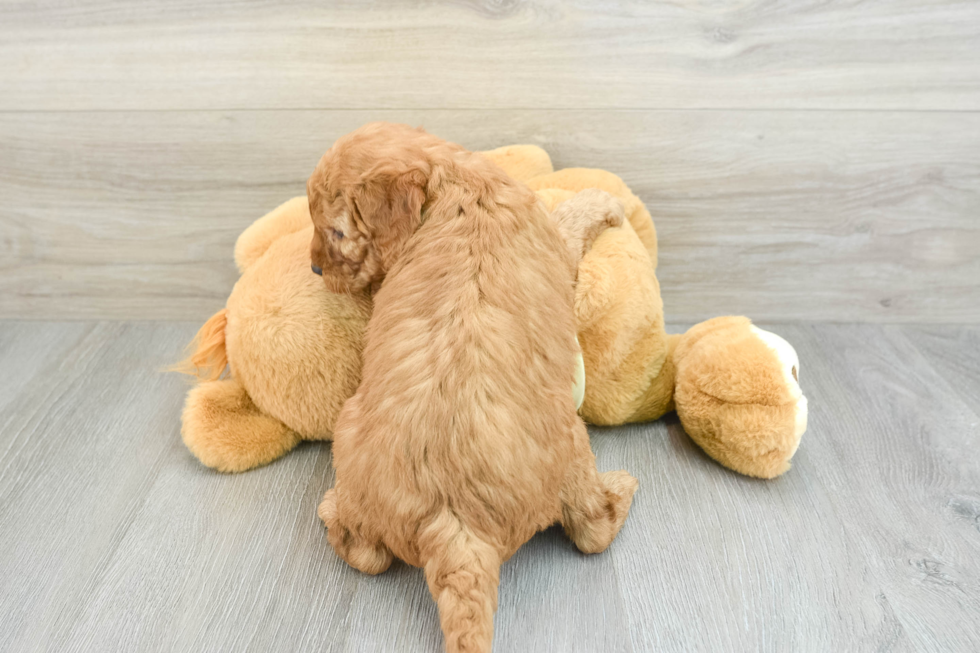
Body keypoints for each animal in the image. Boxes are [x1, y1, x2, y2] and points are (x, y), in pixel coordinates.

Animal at [310, 123, 640, 652]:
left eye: (338, 232)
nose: (316, 270)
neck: (452, 182)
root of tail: (456, 526)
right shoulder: (556, 244)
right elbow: (569, 216)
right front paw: (605, 200)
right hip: (572, 445)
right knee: (594, 530)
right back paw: (622, 488)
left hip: (352, 428)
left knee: (366, 554)